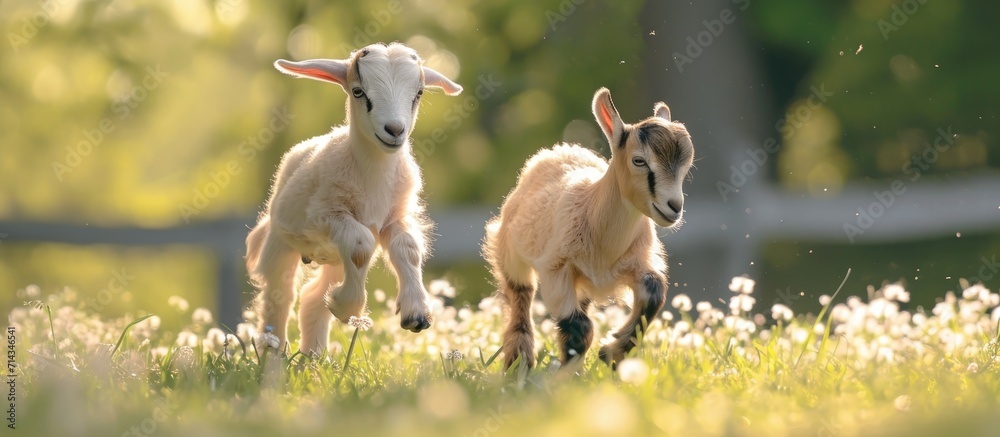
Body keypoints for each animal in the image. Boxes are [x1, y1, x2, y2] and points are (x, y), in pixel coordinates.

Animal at [244, 42, 462, 352]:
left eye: (419, 93)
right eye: (358, 91)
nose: (395, 130)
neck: (374, 177)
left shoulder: (395, 217)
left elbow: (406, 248)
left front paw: (416, 315)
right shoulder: (325, 214)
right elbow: (361, 244)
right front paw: (346, 310)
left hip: (333, 258)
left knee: (312, 298)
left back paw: (314, 357)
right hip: (282, 240)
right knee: (279, 298)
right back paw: (273, 354)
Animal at [484, 87, 696, 370]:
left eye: (686, 164)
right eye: (639, 160)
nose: (674, 206)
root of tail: (559, 150)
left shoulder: (637, 263)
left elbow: (654, 293)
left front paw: (611, 352)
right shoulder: (555, 268)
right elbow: (579, 328)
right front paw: (563, 376)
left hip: (582, 283)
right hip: (509, 249)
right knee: (521, 294)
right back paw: (519, 362)